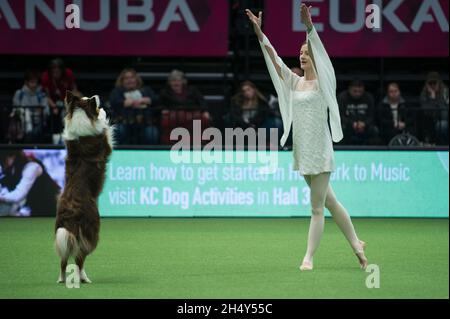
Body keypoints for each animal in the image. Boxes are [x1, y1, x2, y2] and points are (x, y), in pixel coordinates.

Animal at [55, 90, 113, 284]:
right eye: (89, 99)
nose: (96, 96)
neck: (81, 116)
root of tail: (70, 214)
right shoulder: (106, 144)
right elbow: (104, 127)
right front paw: (102, 113)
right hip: (92, 230)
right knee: (80, 257)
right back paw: (84, 278)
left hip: (64, 234)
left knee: (64, 258)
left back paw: (62, 278)